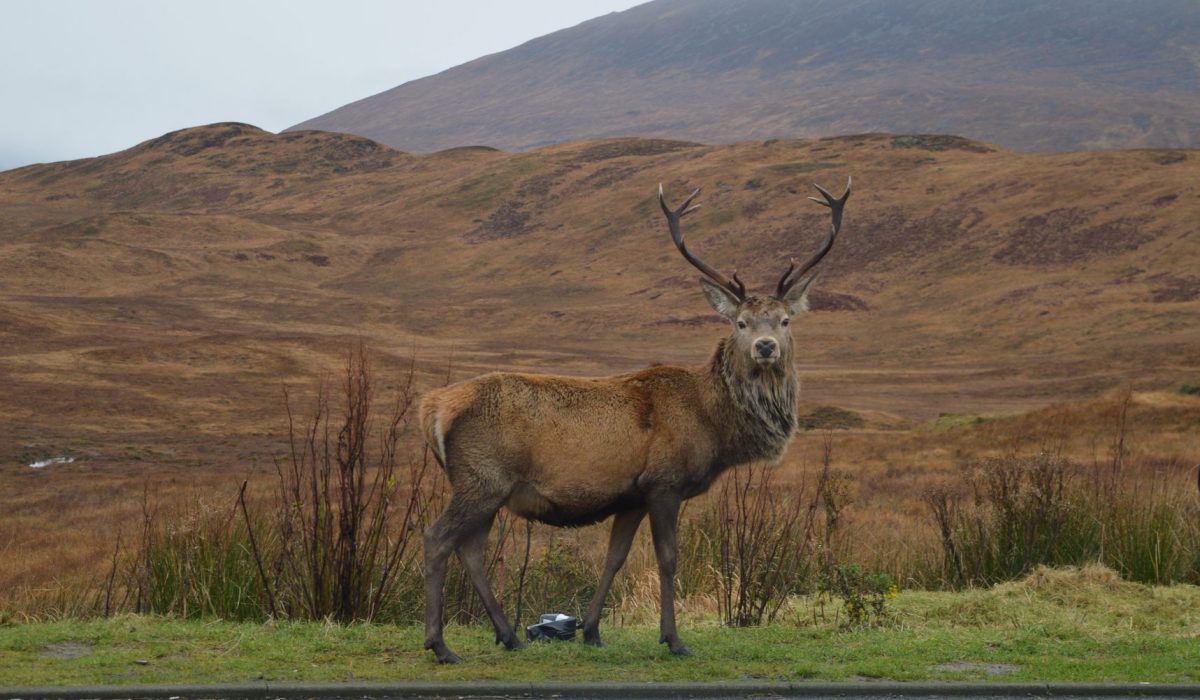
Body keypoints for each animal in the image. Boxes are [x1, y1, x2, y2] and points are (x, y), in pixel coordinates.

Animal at [418, 177, 852, 663]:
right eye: (740, 322)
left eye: (785, 319)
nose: (765, 347)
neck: (713, 425)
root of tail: (433, 407)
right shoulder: (664, 482)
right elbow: (668, 558)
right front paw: (674, 639)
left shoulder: (630, 496)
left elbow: (616, 557)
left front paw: (590, 630)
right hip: (482, 478)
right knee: (437, 538)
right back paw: (440, 645)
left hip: (488, 488)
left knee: (471, 549)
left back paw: (508, 635)